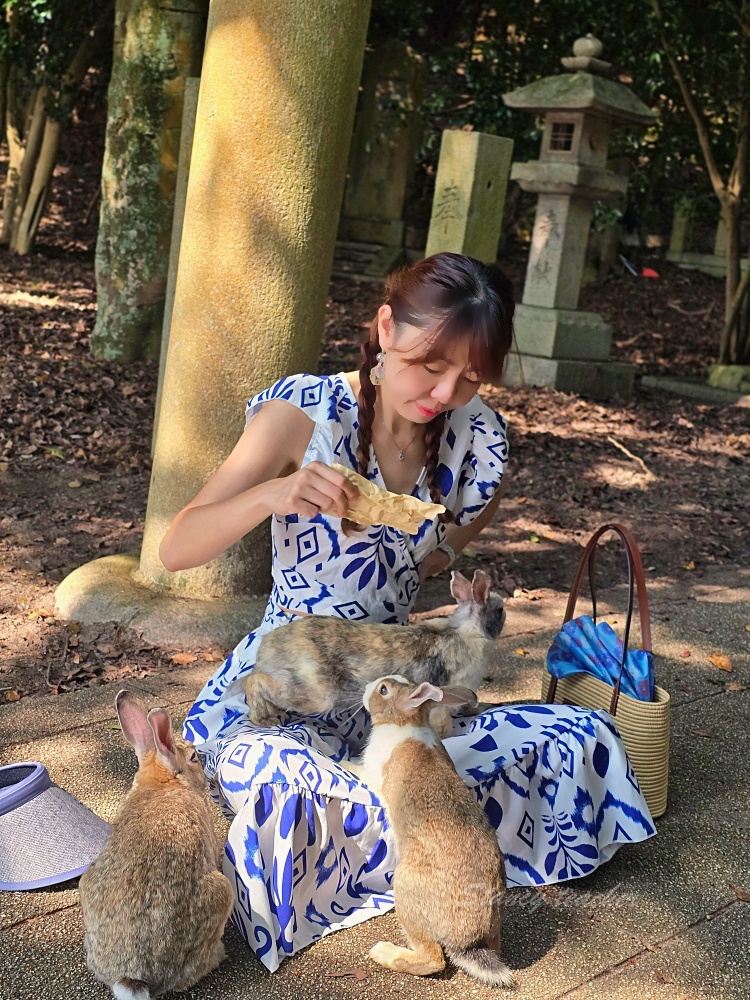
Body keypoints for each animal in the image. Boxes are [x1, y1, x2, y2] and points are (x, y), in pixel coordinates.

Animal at [247, 572, 506, 736]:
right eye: (501, 610)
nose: (504, 615)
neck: (467, 631)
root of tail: (267, 646)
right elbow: (443, 723)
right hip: (316, 694)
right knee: (255, 681)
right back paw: (263, 719)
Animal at [350, 676, 516, 988]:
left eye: (384, 690)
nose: (366, 688)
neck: (403, 722)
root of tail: (468, 940)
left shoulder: (372, 773)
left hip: (404, 890)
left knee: (433, 959)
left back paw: (383, 952)